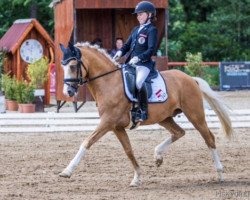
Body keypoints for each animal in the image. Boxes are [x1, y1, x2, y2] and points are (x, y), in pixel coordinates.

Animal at [59, 43, 232, 187]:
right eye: (63, 66)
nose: (68, 92)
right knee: (179, 132)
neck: (109, 82)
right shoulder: (116, 127)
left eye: (73, 66)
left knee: (209, 138)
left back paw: (220, 173)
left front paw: (67, 171)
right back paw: (158, 156)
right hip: (164, 118)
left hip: (195, 115)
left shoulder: (107, 122)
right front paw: (137, 178)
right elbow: (128, 150)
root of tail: (190, 79)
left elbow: (87, 142)